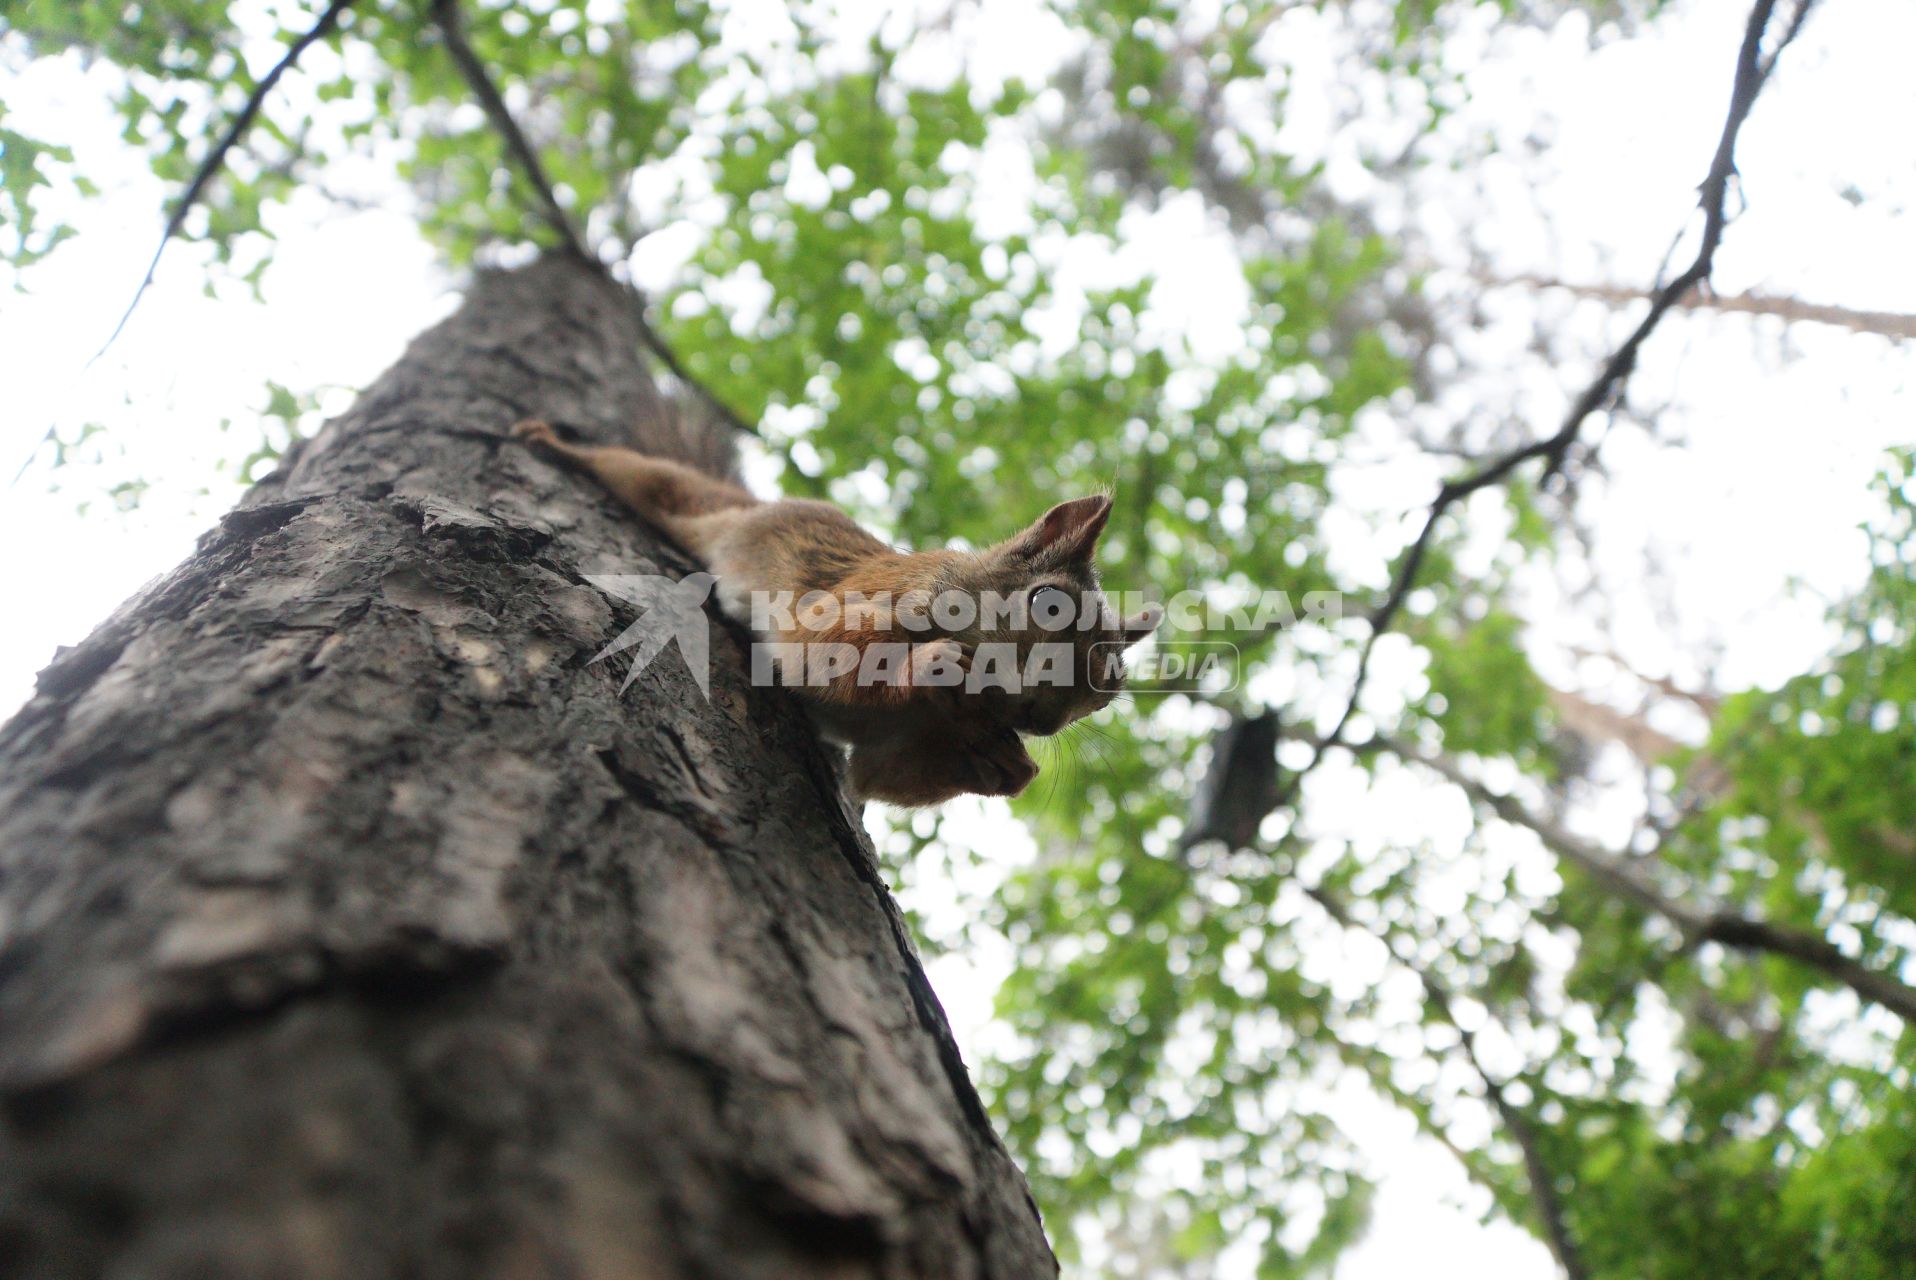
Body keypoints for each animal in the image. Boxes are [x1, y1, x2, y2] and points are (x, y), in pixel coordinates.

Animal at [509, 415, 1157, 804]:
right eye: (1048, 603)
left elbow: (878, 775)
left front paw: (1010, 766)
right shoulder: (874, 597)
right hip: (700, 510)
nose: (1046, 721)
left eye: (1109, 690)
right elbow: (820, 652)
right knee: (651, 479)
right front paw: (928, 665)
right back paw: (555, 445)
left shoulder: (907, 739)